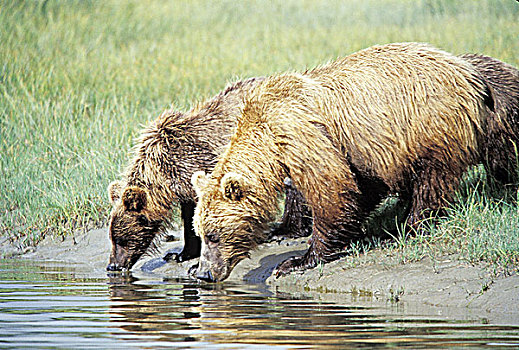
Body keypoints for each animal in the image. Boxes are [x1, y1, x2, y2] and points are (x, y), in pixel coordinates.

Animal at [105, 76, 310, 272]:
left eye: (121, 240)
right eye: (112, 238)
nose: (112, 266)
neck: (163, 171)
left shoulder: (200, 163)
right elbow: (190, 215)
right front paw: (179, 254)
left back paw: (287, 229)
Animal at [192, 41, 496, 282]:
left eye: (213, 235)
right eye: (200, 233)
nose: (204, 273)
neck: (265, 139)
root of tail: (466, 71)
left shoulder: (302, 134)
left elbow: (331, 188)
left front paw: (298, 260)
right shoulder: (357, 154)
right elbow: (359, 188)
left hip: (427, 122)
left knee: (432, 177)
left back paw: (412, 225)